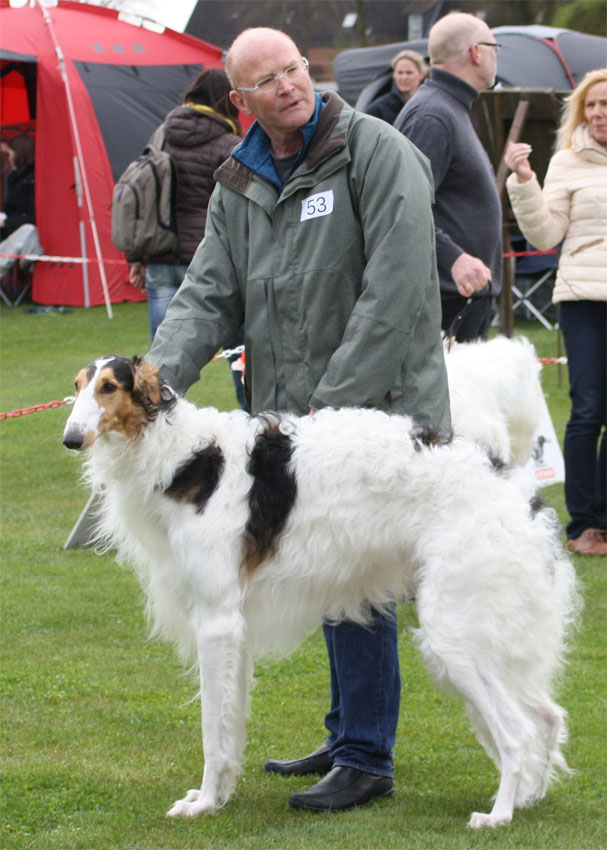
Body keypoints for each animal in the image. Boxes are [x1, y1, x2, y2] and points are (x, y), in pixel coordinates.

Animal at [63, 355, 580, 829]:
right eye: (77, 386)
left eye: (109, 387)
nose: (70, 438)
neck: (182, 456)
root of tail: (521, 495)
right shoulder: (235, 629)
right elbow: (231, 726)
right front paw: (221, 795)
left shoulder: (216, 621)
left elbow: (212, 730)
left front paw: (204, 803)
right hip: (482, 633)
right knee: (548, 715)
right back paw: (531, 796)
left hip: (454, 634)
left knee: (516, 732)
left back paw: (498, 815)